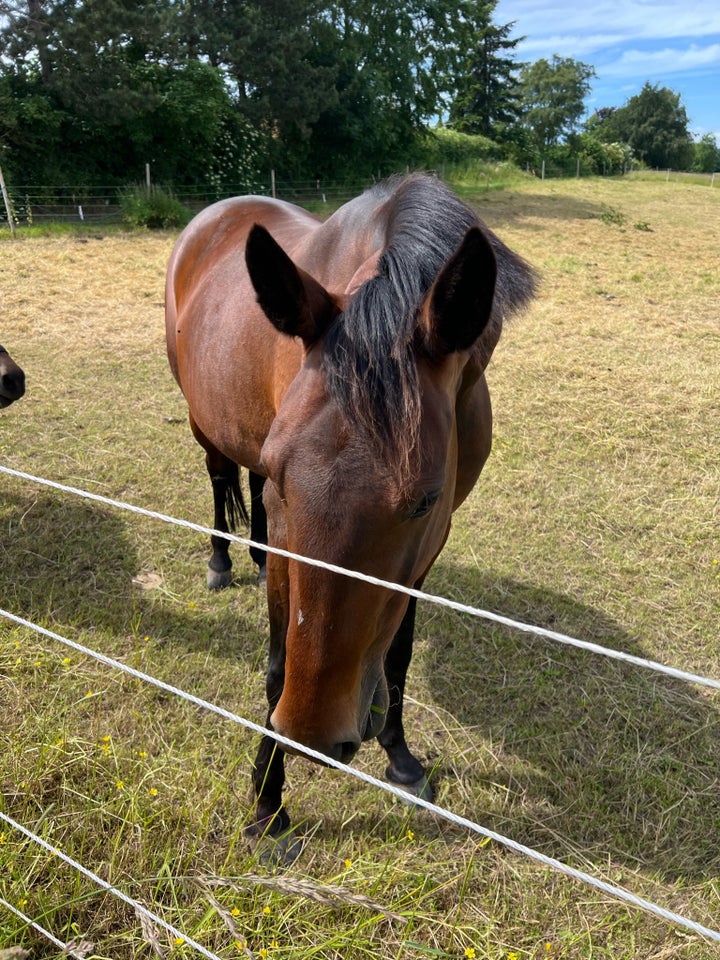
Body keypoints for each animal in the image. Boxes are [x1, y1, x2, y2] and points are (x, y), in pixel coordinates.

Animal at [163, 176, 536, 860]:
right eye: (290, 478)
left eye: (424, 498)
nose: (311, 733)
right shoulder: (290, 526)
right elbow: (278, 665)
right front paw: (268, 804)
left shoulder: (429, 544)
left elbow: (399, 654)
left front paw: (402, 757)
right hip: (205, 427)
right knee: (223, 478)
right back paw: (222, 558)